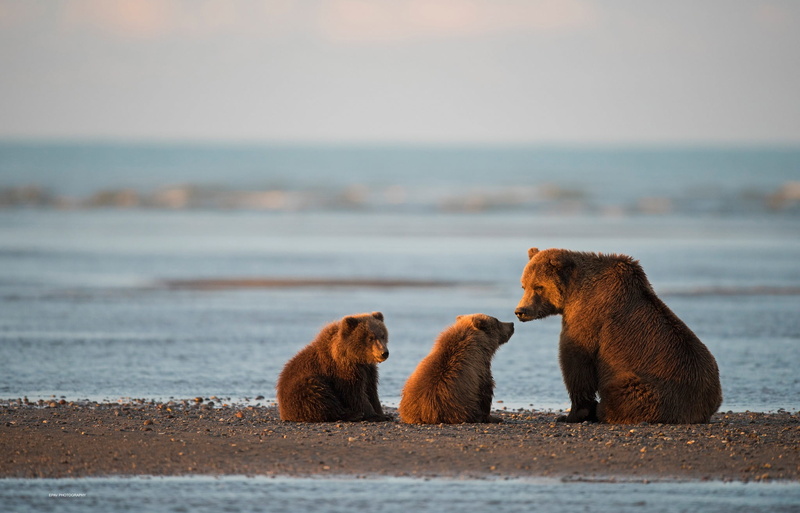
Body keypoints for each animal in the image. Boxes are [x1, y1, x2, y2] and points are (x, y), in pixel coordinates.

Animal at [515, 247, 722, 424]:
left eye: (538, 286)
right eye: (523, 285)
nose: (520, 311)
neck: (572, 292)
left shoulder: (588, 316)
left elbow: (576, 361)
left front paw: (571, 415)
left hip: (653, 387)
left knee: (621, 394)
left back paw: (602, 411)